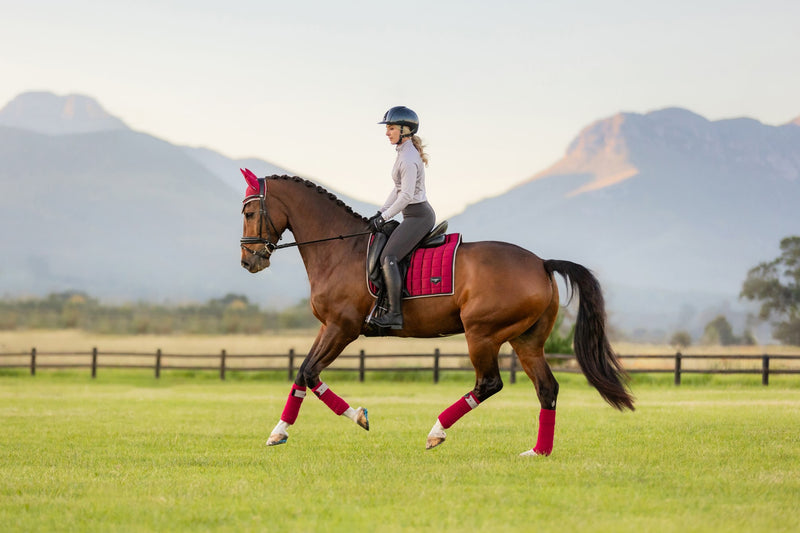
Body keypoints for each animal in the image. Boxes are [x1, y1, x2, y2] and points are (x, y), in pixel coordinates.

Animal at [238, 169, 632, 454]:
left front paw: (350, 418)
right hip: (526, 341)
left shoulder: (343, 327)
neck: (341, 249)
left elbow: (309, 372)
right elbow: (305, 372)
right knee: (547, 388)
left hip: (482, 334)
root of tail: (542, 263)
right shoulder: (328, 327)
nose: (248, 261)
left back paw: (437, 431)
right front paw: (288, 430)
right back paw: (538, 452)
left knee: (489, 383)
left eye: (250, 212)